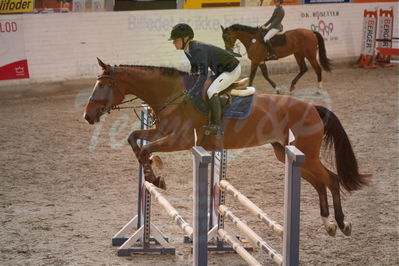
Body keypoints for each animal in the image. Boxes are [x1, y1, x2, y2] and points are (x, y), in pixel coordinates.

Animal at [83, 58, 370, 237]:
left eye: (104, 85)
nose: (88, 116)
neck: (172, 95)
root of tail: (313, 108)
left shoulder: (180, 140)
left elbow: (144, 149)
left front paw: (156, 178)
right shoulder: (162, 133)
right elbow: (135, 139)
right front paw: (153, 173)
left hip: (305, 156)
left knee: (332, 180)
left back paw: (342, 224)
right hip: (287, 154)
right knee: (320, 183)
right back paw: (328, 224)